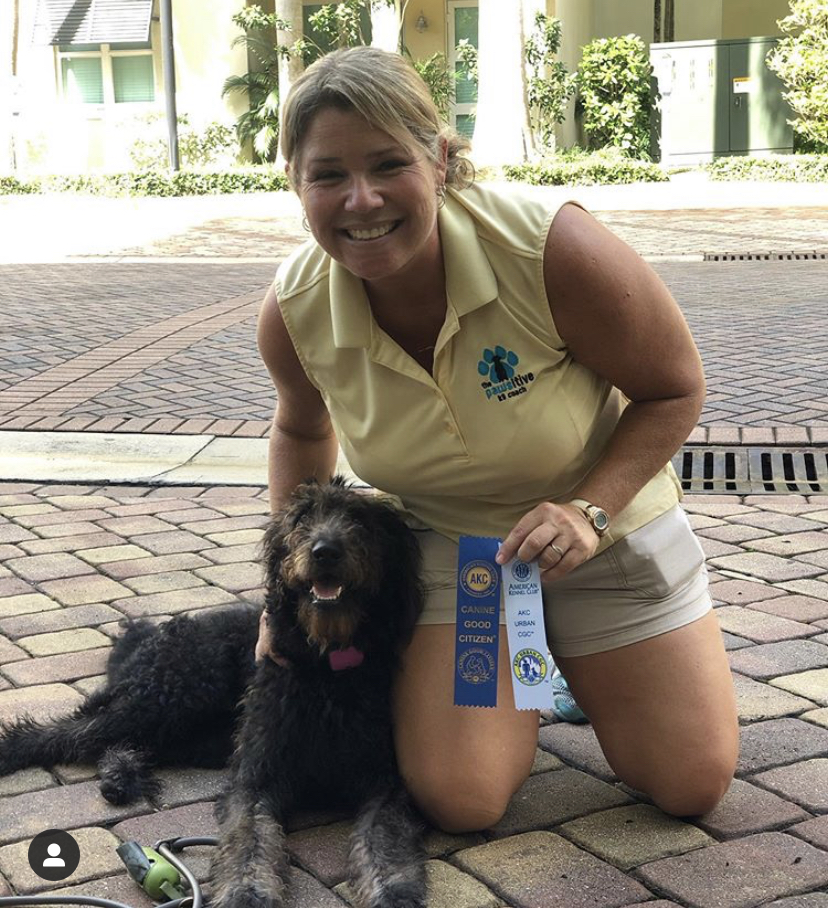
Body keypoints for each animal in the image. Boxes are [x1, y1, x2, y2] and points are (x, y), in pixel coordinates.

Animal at [0, 477, 427, 908]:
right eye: (303, 517)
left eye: (359, 519)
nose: (325, 551)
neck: (324, 665)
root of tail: (147, 636)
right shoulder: (253, 779)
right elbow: (249, 842)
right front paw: (246, 892)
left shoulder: (383, 782)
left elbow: (384, 843)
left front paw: (392, 893)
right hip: (170, 699)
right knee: (72, 732)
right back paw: (17, 750)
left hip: (194, 733)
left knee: (123, 742)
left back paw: (120, 775)